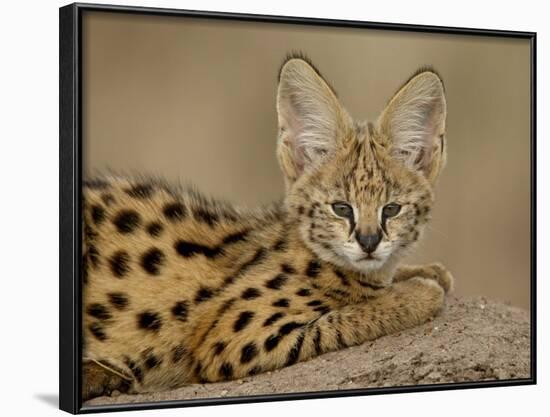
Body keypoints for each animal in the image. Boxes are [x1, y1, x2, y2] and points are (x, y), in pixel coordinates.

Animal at [81, 53, 452, 398]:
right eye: (341, 208)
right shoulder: (233, 339)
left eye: (392, 209)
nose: (369, 241)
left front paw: (427, 272)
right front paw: (417, 293)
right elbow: (345, 317)